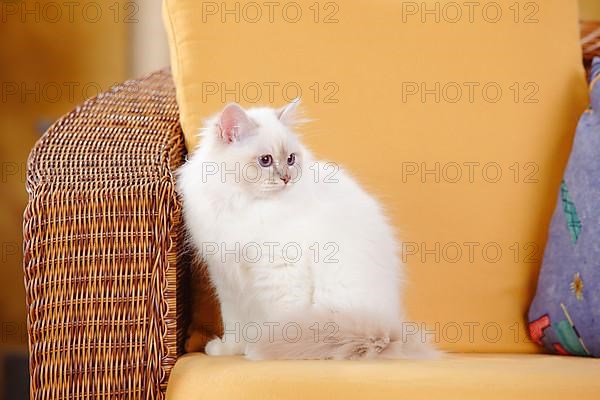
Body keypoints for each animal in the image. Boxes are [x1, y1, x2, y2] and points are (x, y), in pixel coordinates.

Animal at [177, 99, 436, 360]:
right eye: (265, 160)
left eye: (291, 159)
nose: (287, 178)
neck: (245, 204)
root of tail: (388, 331)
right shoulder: (227, 277)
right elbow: (233, 323)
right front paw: (229, 350)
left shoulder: (281, 271)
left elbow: (282, 321)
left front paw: (266, 350)